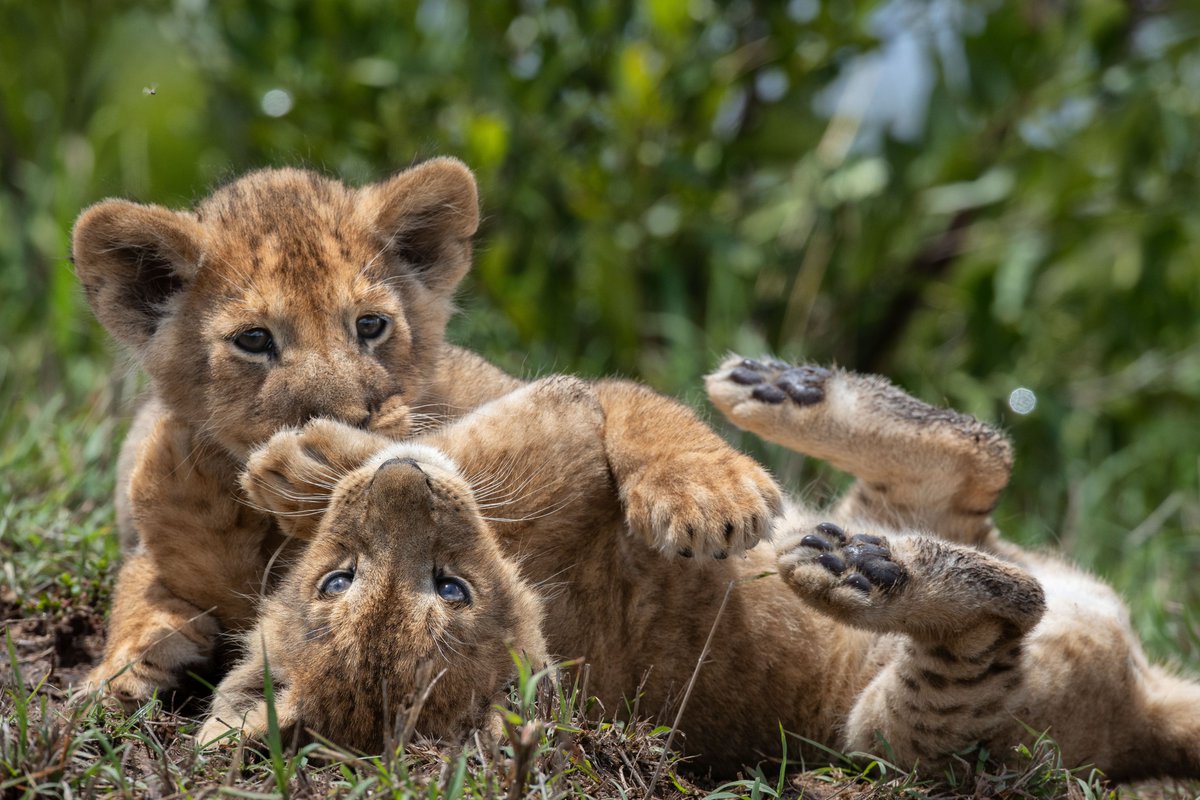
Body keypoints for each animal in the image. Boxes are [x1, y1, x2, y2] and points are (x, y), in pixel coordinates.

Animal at [71, 161, 780, 702]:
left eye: (370, 326)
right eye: (253, 340)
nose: (346, 413)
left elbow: (625, 399)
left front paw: (711, 494)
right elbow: (141, 584)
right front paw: (123, 663)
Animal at [200, 359, 1200, 781]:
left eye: (334, 581)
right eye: (452, 587)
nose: (401, 487)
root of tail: (1143, 715)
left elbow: (621, 408)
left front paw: (300, 460)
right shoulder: (552, 440)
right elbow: (556, 413)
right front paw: (328, 460)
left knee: (975, 455)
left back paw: (781, 390)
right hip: (911, 736)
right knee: (1001, 612)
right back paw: (859, 569)